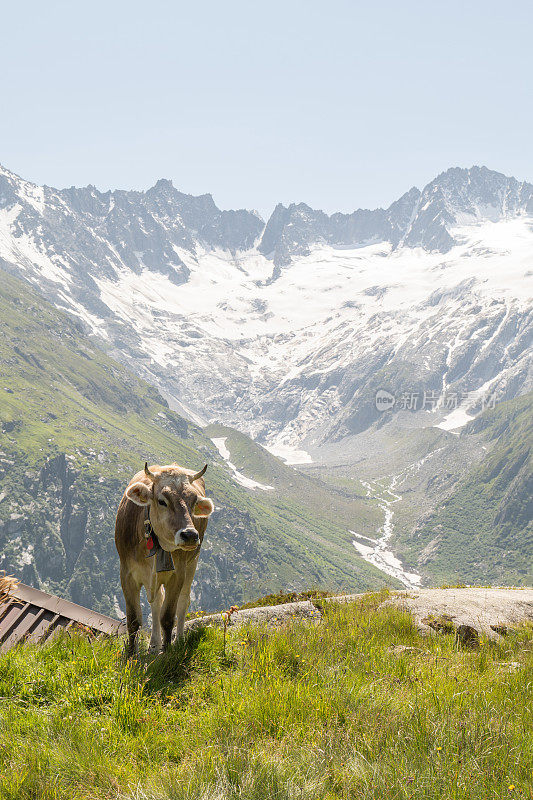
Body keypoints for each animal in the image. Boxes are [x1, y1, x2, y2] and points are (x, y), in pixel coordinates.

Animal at [115, 462, 213, 656]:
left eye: (193, 502)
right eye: (162, 501)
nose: (190, 535)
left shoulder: (177, 575)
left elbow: (167, 617)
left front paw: (167, 653)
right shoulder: (127, 574)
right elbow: (133, 620)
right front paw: (131, 654)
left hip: (192, 563)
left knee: (183, 601)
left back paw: (179, 639)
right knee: (156, 602)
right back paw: (154, 645)